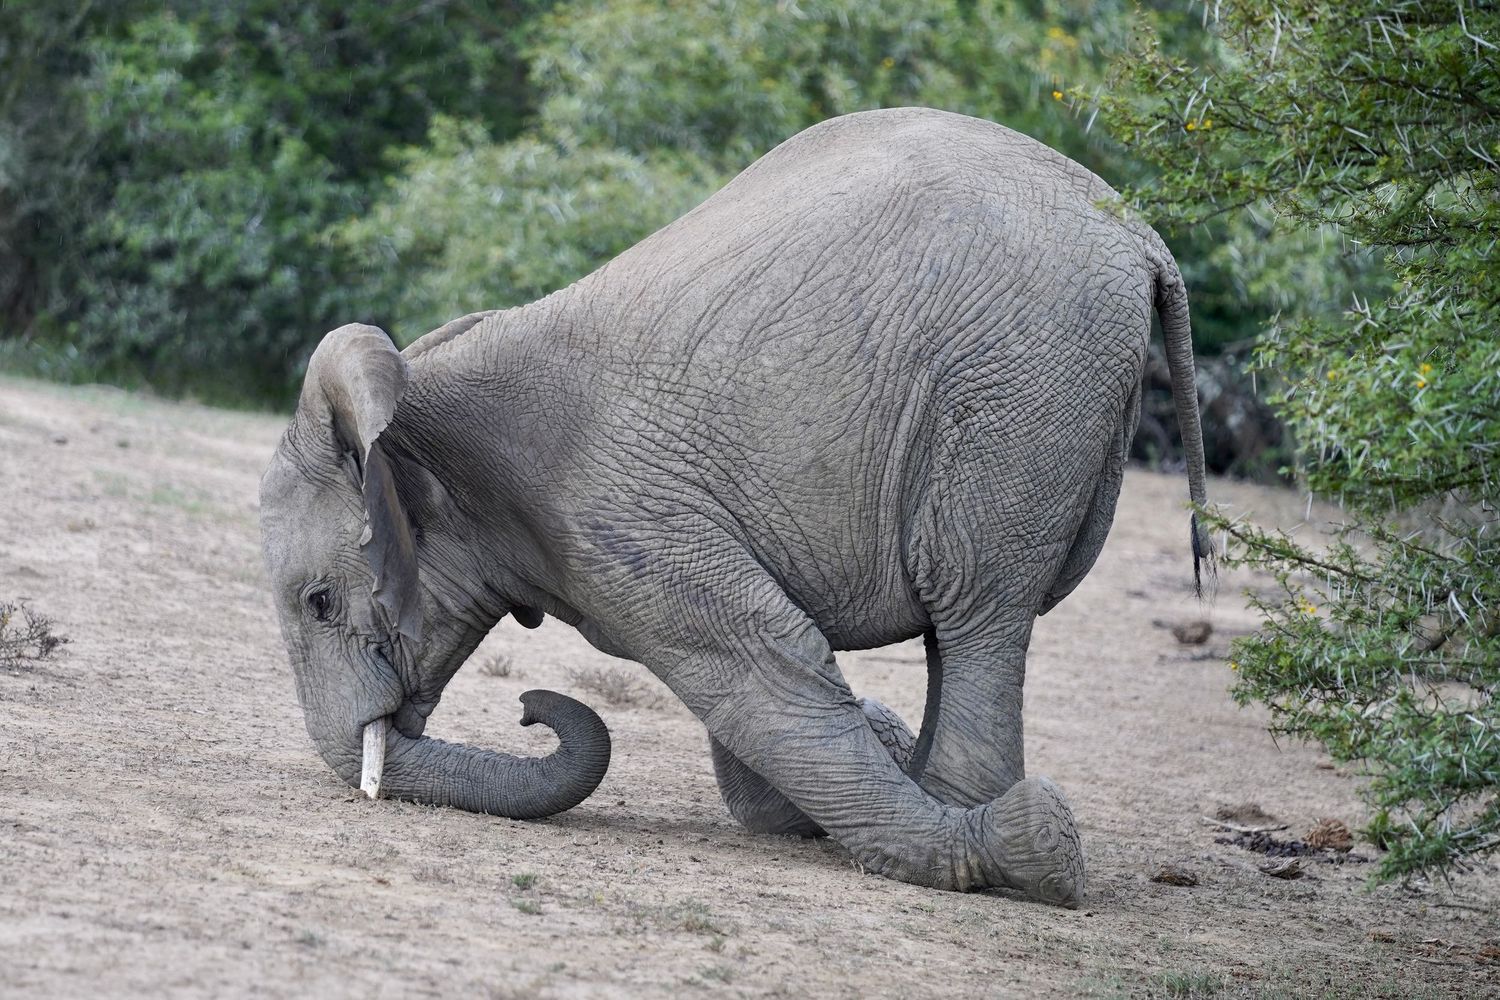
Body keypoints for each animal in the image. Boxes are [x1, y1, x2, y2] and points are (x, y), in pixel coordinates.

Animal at [259, 107, 1212, 909]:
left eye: (320, 602)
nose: (533, 708)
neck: (421, 401)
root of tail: (1143, 236)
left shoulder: (620, 524)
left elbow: (760, 676)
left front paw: (1010, 843)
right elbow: (751, 694)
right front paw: (874, 741)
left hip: (1017, 390)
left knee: (976, 604)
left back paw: (993, 830)